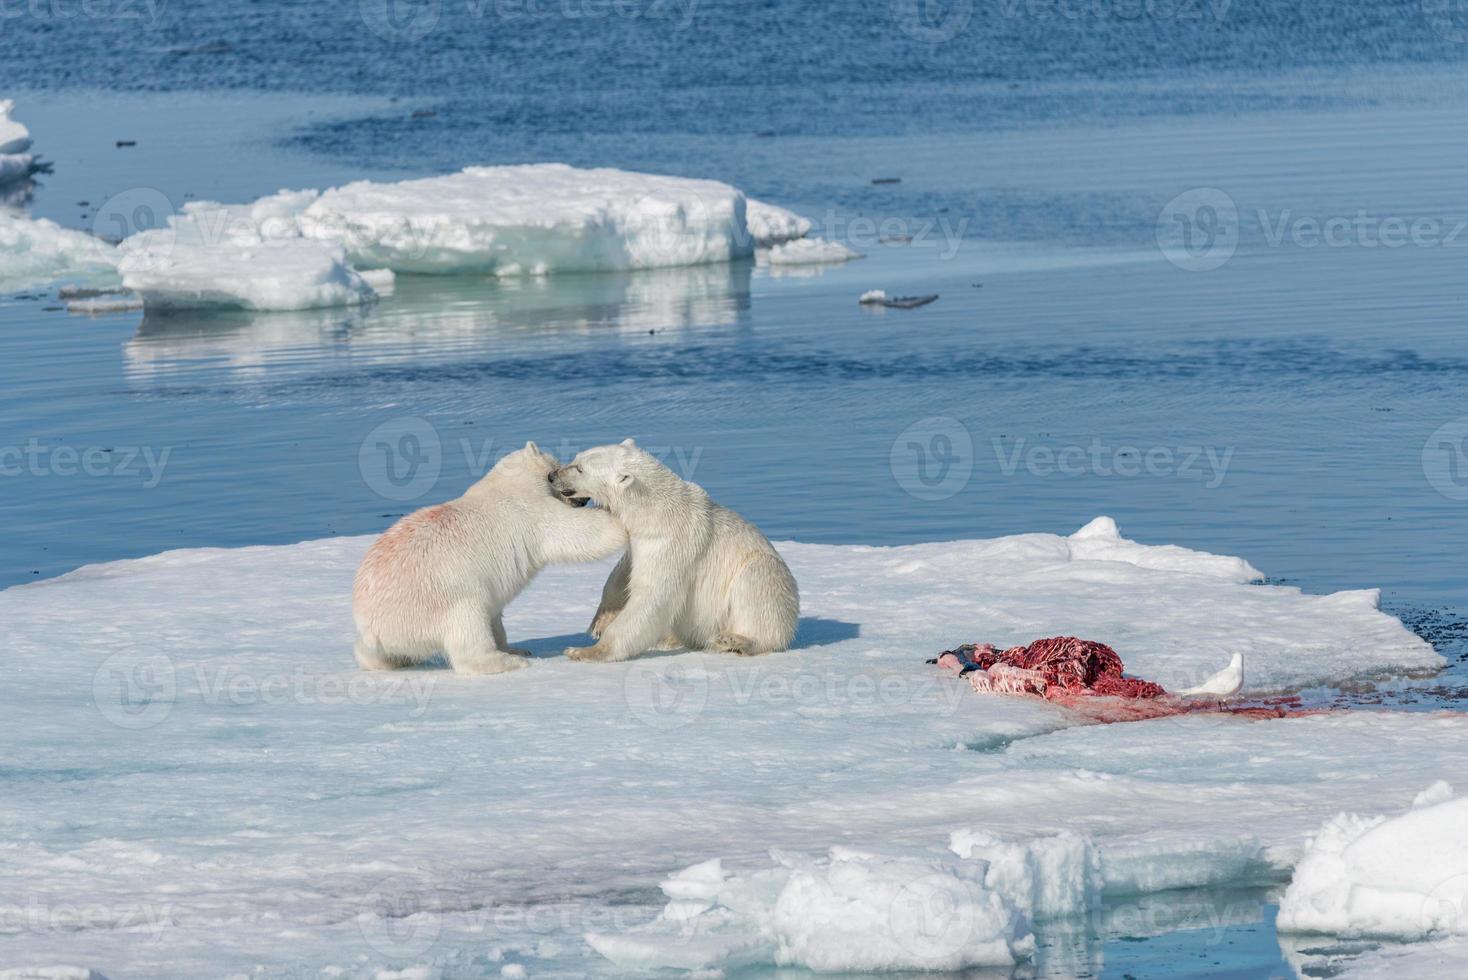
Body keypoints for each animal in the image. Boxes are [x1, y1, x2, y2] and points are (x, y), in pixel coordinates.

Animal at [359, 443, 631, 674]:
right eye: (556, 468)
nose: (583, 499)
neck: (511, 481)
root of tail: (373, 627)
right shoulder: (531, 512)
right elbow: (575, 532)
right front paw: (617, 516)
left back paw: (515, 649)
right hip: (441, 599)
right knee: (469, 628)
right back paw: (508, 661)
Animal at [551, 443, 804, 663]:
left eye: (580, 468)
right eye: (576, 458)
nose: (552, 475)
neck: (655, 511)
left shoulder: (671, 544)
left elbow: (652, 596)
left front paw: (584, 651)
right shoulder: (642, 540)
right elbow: (622, 573)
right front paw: (601, 620)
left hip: (766, 577)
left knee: (757, 591)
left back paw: (735, 641)